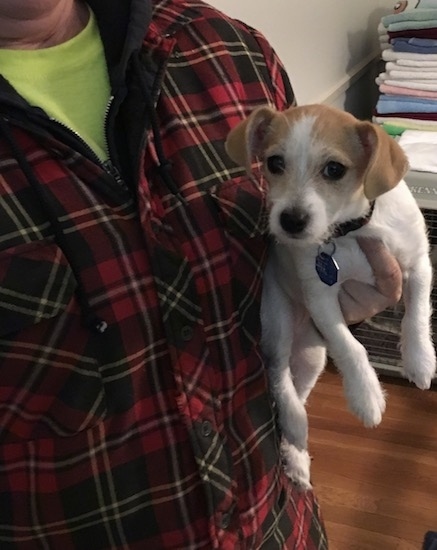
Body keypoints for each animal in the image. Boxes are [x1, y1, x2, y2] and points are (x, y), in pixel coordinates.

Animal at [227, 103, 434, 492]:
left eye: (334, 169)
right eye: (274, 163)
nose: (291, 221)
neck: (353, 229)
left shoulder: (417, 265)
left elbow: (416, 316)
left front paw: (420, 361)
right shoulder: (320, 298)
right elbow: (350, 346)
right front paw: (366, 395)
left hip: (312, 358)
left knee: (297, 388)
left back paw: (295, 456)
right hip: (278, 321)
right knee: (279, 378)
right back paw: (296, 426)